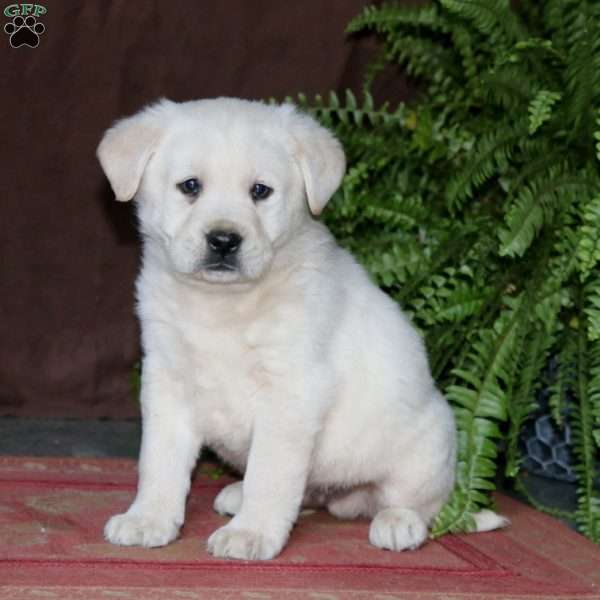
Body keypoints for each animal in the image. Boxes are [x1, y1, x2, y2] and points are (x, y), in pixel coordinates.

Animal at [98, 96, 502, 560]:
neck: (223, 304)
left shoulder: (291, 391)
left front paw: (251, 533)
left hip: (428, 445)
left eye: (260, 191)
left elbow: (271, 473)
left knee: (419, 504)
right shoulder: (167, 380)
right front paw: (149, 519)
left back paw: (398, 523)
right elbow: (159, 463)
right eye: (190, 186)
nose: (224, 241)